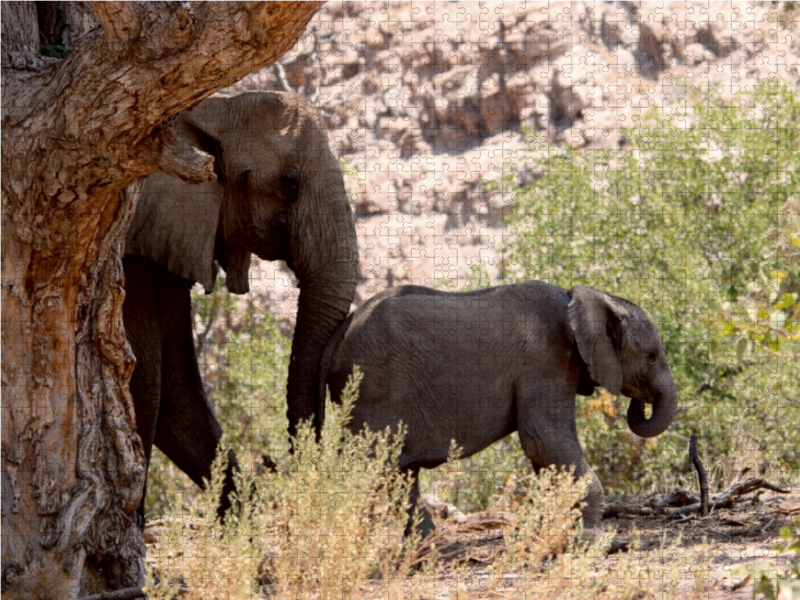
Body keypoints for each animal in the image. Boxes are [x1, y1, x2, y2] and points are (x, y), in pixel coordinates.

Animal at [318, 282, 676, 540]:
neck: (579, 298)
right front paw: (596, 540)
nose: (641, 402)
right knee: (374, 467)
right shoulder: (544, 361)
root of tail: (341, 331)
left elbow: (545, 454)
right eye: (652, 356)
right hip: (372, 386)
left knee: (398, 474)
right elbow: (543, 440)